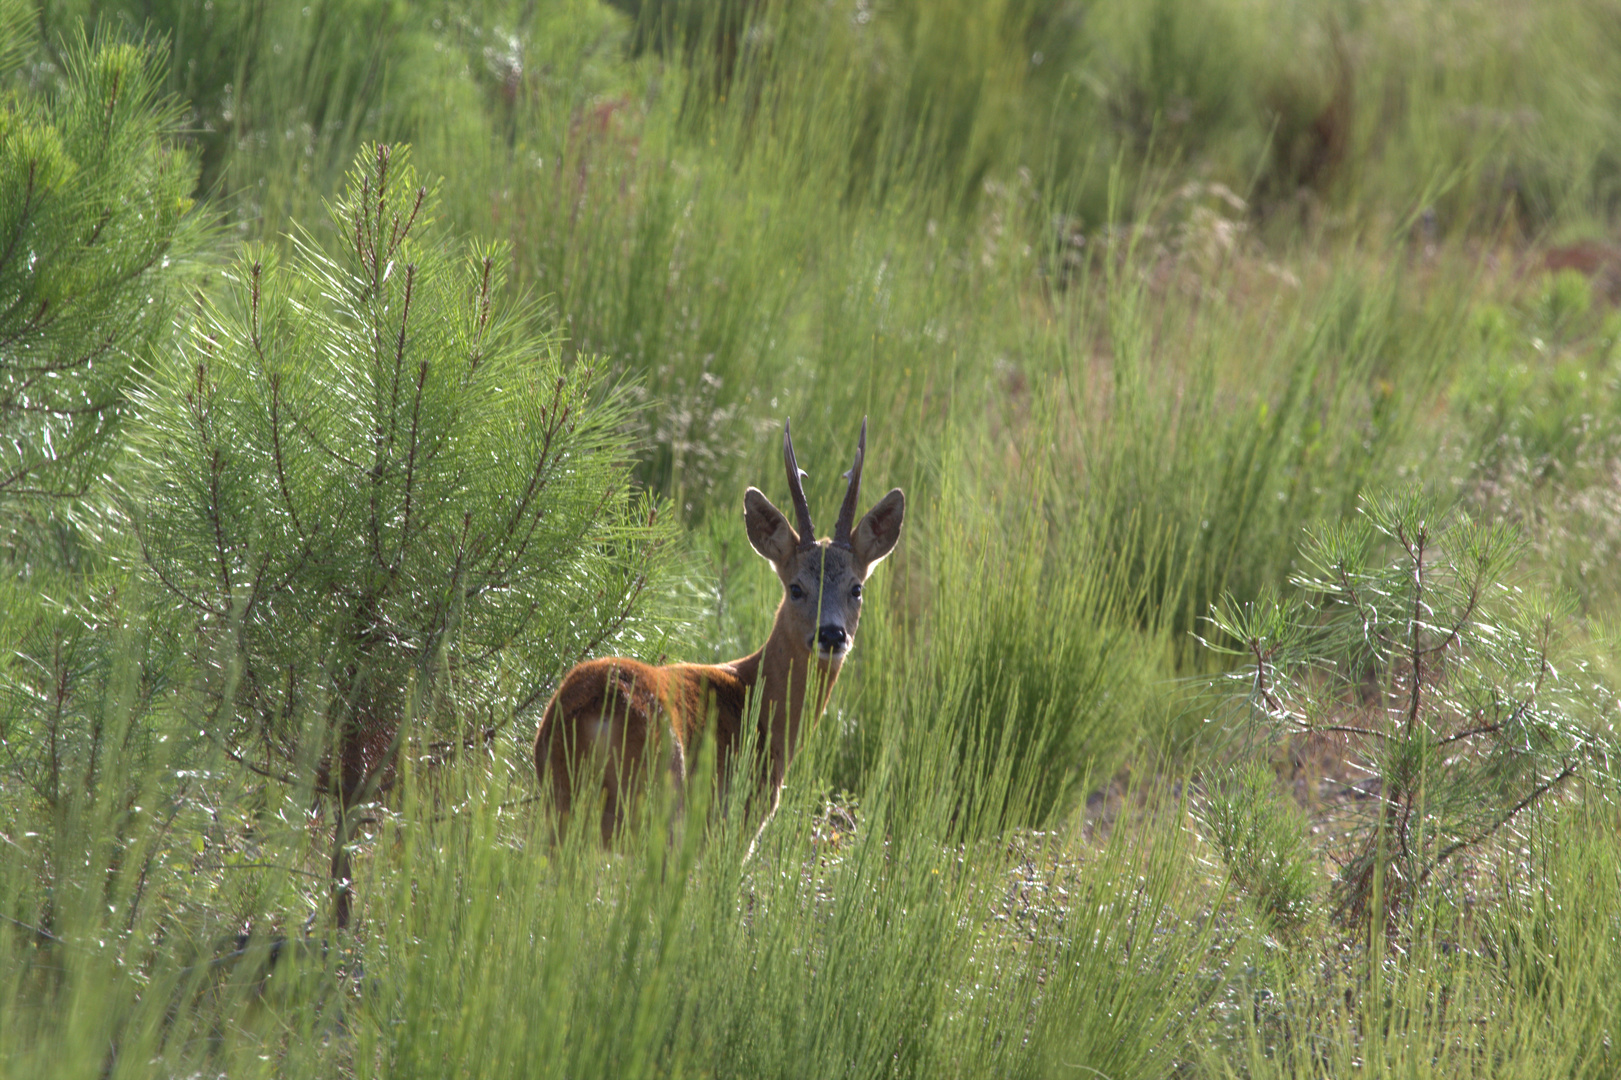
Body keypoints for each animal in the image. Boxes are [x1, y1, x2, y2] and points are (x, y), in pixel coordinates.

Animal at [538, 415, 907, 843]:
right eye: (796, 587)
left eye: (856, 588)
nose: (831, 635)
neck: (760, 702)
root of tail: (592, 708)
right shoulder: (732, 822)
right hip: (656, 808)